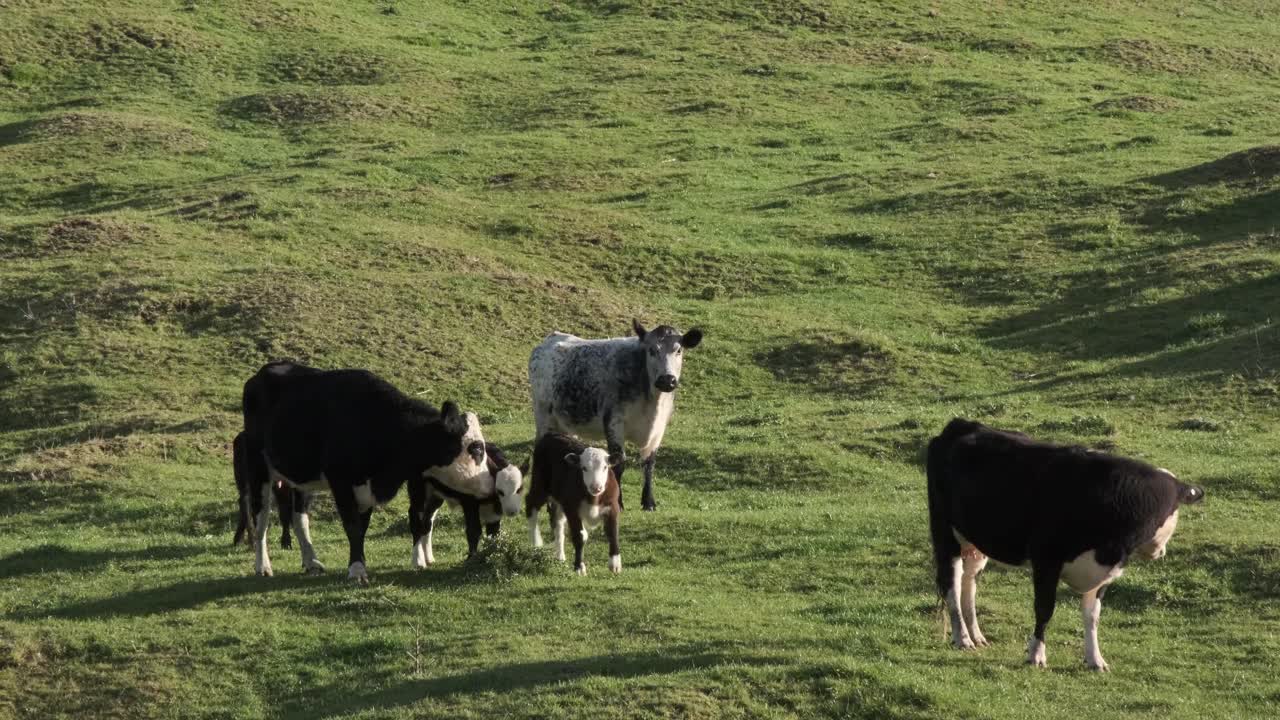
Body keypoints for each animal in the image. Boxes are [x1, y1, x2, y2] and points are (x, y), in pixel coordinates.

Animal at [239, 360, 492, 585]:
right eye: (477, 448)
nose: (490, 483)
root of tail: (263, 372)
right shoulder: (341, 481)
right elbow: (352, 526)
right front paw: (357, 571)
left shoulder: (367, 488)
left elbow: (362, 528)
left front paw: (359, 563)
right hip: (258, 468)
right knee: (261, 518)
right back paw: (263, 566)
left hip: (302, 479)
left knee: (299, 518)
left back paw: (310, 561)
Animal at [526, 432, 623, 576]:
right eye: (584, 468)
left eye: (605, 467)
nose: (596, 487)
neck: (594, 499)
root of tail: (552, 434)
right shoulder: (572, 509)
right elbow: (580, 536)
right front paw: (579, 567)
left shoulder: (612, 507)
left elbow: (613, 533)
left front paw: (615, 564)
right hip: (540, 485)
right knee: (531, 504)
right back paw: (536, 542)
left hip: (559, 499)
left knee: (557, 521)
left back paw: (560, 555)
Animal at [529, 319, 703, 511]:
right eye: (651, 350)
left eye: (678, 350)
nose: (667, 380)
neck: (651, 404)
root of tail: (550, 339)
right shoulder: (614, 422)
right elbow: (619, 462)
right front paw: (618, 502)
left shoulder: (659, 429)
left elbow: (649, 464)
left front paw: (649, 502)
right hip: (543, 416)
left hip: (566, 424)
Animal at [926, 418, 1205, 671]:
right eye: (1172, 511)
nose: (1161, 551)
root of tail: (960, 424)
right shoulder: (1046, 560)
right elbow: (1044, 609)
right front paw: (1036, 654)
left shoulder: (1103, 573)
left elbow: (1092, 616)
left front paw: (1095, 659)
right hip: (946, 535)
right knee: (952, 582)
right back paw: (962, 637)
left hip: (976, 543)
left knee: (969, 582)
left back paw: (976, 635)